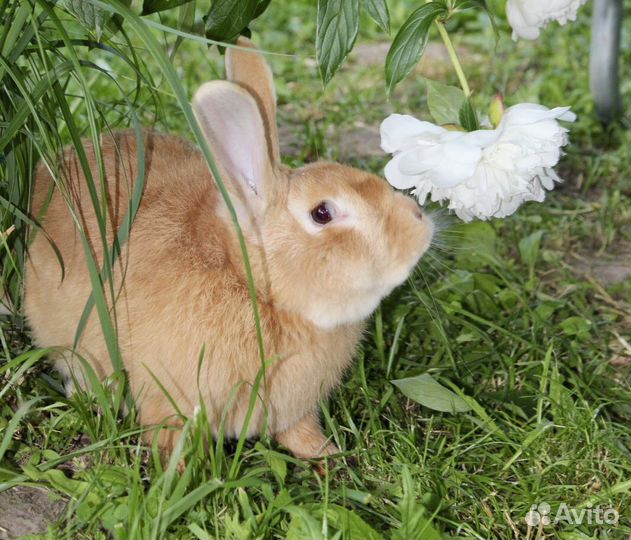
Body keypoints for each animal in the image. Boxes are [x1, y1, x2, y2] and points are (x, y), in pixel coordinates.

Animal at [22, 38, 432, 460]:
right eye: (322, 213)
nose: (420, 223)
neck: (253, 288)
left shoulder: (292, 408)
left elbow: (299, 431)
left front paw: (326, 453)